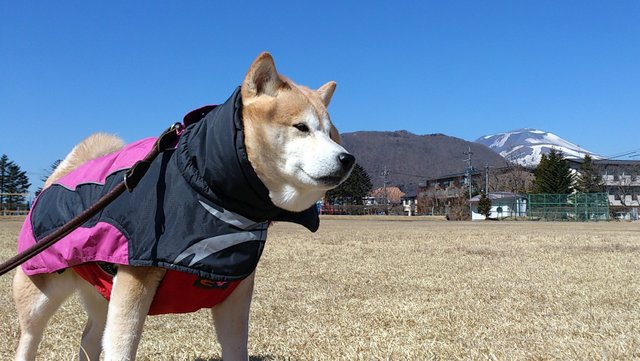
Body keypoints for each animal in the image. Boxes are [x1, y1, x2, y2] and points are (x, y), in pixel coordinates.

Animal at [13, 52, 356, 358]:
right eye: (301, 127)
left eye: (330, 133)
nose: (347, 158)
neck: (207, 187)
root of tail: (57, 177)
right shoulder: (134, 280)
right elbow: (122, 346)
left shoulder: (234, 292)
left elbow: (236, 348)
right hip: (40, 293)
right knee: (30, 338)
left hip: (99, 290)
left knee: (90, 335)